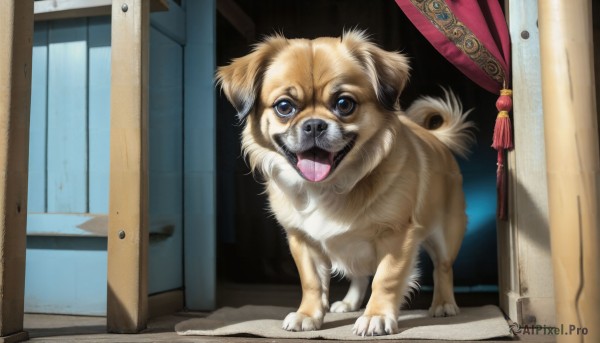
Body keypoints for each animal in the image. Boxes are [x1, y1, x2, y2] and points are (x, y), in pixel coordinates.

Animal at [216, 30, 474, 338]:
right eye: (284, 107)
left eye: (344, 104)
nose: (314, 125)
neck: (330, 186)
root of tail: (436, 139)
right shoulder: (303, 241)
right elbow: (312, 283)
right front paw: (308, 315)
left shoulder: (396, 237)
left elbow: (386, 279)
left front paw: (376, 316)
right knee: (359, 274)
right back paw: (350, 303)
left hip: (444, 235)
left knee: (442, 268)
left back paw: (443, 304)